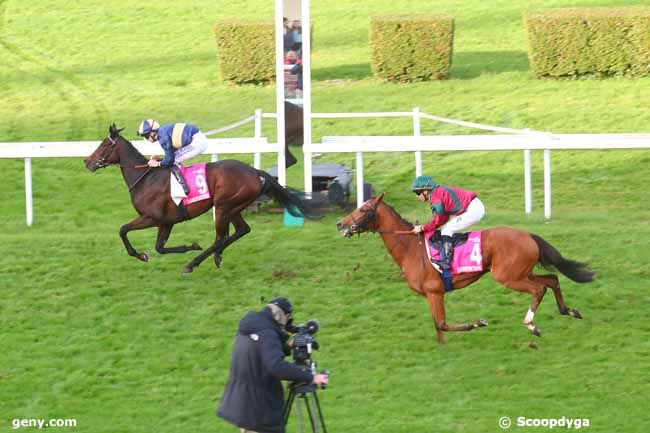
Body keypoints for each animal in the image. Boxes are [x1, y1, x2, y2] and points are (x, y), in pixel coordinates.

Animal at [86, 123, 316, 274]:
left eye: (103, 146)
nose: (86, 162)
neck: (145, 178)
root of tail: (254, 171)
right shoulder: (167, 221)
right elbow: (160, 247)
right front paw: (189, 246)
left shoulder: (152, 217)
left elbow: (123, 230)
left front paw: (141, 254)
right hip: (233, 207)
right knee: (241, 230)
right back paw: (217, 256)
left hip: (223, 207)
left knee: (221, 237)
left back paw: (193, 264)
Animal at [334, 194, 592, 342]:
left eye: (363, 209)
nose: (339, 224)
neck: (410, 248)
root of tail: (528, 235)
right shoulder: (430, 294)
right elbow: (438, 326)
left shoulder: (435, 291)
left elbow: (442, 323)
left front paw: (477, 323)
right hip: (522, 272)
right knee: (552, 279)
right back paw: (569, 311)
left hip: (508, 276)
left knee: (539, 289)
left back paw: (531, 325)